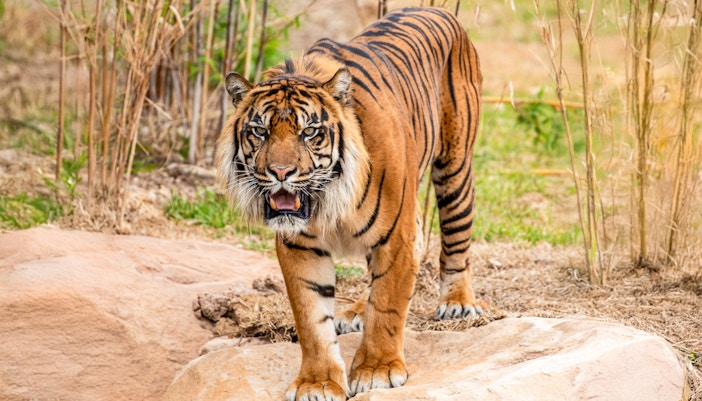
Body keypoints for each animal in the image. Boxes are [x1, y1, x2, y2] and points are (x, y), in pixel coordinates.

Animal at [216, 7, 482, 401]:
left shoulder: (396, 237)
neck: (327, 201)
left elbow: (387, 306)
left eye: (309, 132)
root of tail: (437, 9)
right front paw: (317, 382)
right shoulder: (300, 247)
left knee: (456, 237)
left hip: (455, 165)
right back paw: (356, 311)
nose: (280, 172)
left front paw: (377, 370)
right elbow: (311, 319)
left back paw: (458, 302)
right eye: (260, 131)